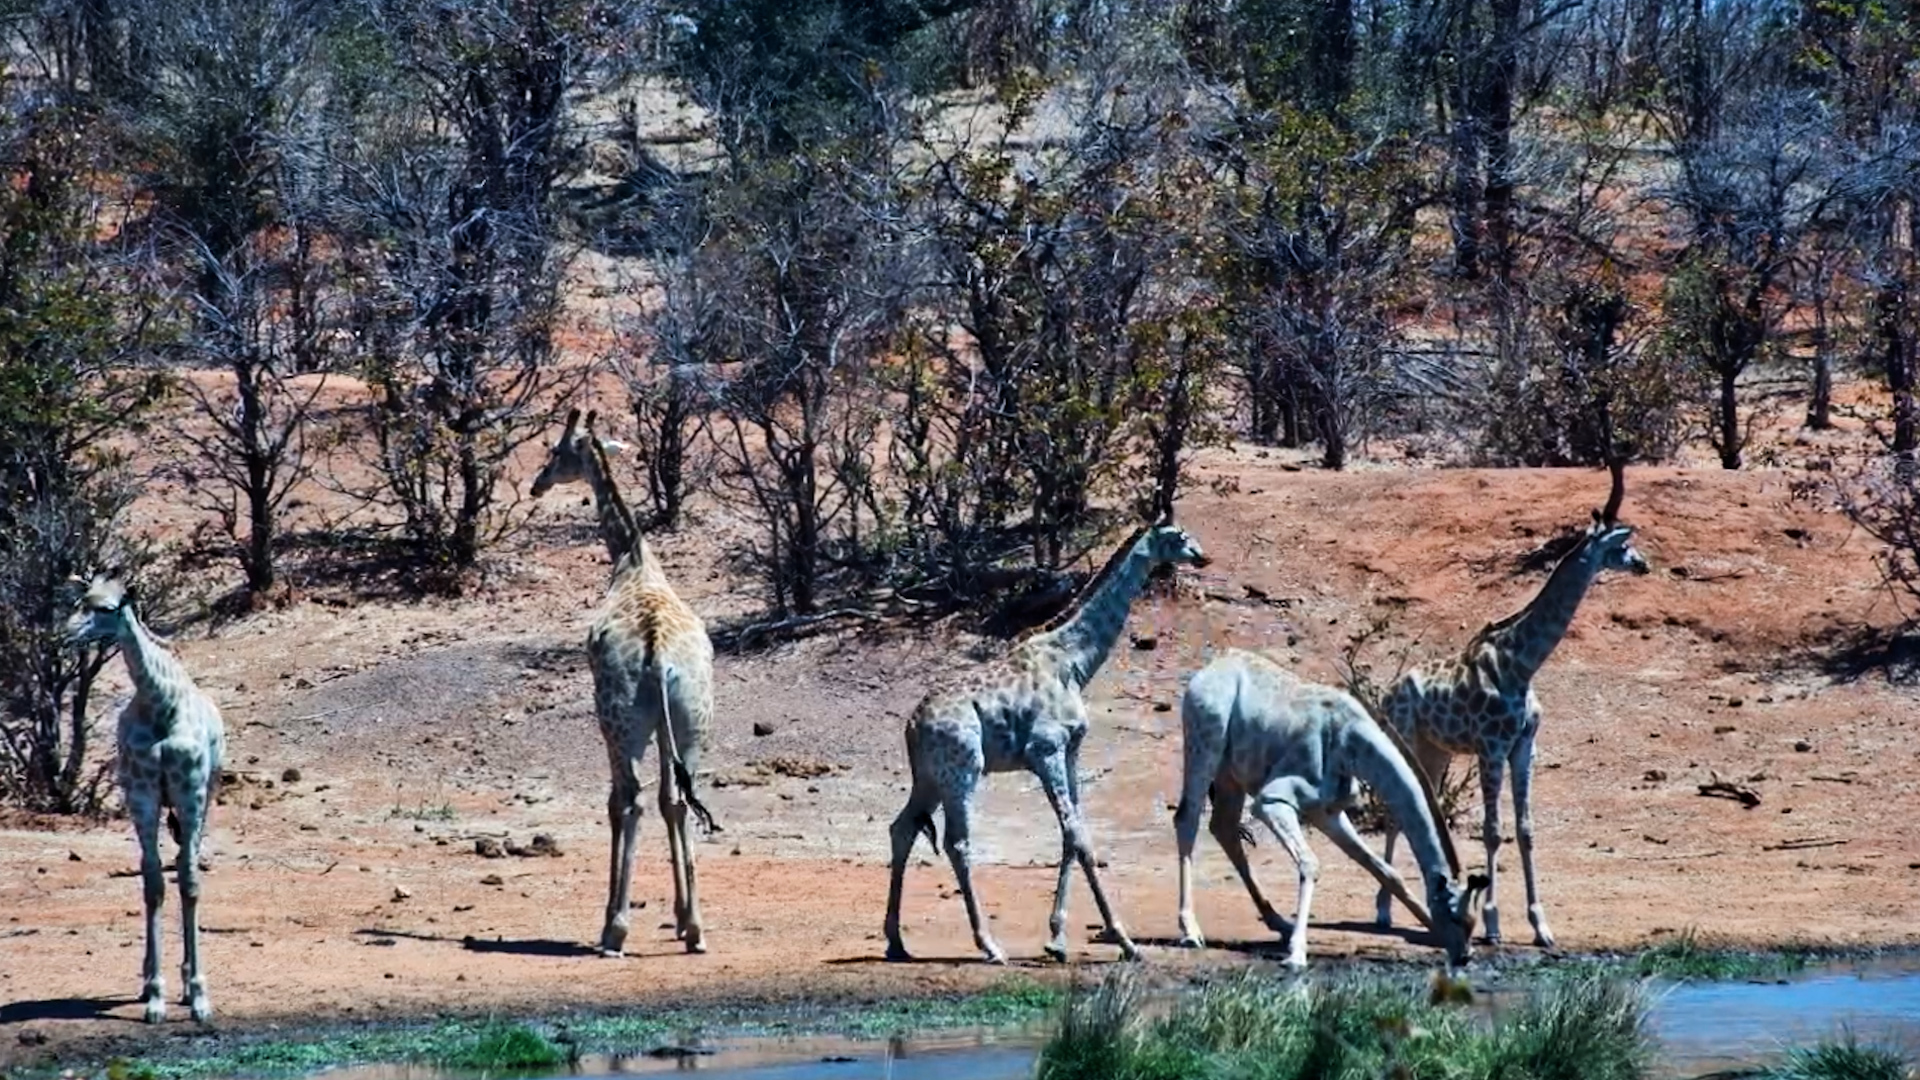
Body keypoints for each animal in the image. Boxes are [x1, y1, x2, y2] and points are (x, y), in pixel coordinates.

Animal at [67, 575, 226, 1023]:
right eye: (78, 602)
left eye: (106, 608)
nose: (66, 632)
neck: (160, 704)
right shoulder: (142, 795)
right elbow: (153, 883)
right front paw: (155, 994)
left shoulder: (190, 794)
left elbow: (189, 881)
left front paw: (198, 994)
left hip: (206, 796)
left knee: (188, 869)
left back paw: (188, 982)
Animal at [532, 407, 719, 955]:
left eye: (557, 450)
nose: (535, 484)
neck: (633, 559)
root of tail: (659, 659)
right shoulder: (667, 727)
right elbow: (670, 802)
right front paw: (679, 918)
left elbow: (619, 802)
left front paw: (615, 920)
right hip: (693, 721)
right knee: (678, 798)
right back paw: (696, 928)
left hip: (618, 721)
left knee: (629, 800)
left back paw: (613, 929)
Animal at [883, 521, 1210, 965]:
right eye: (1179, 537)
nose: (1202, 556)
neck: (1074, 663)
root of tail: (913, 726)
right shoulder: (1045, 750)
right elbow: (1079, 837)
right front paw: (1124, 940)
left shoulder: (1070, 752)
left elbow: (1072, 836)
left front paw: (1056, 938)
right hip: (962, 771)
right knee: (958, 842)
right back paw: (989, 946)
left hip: (929, 779)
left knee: (902, 829)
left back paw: (896, 942)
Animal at [1172, 649, 1487, 971]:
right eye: (1454, 915)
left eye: (1472, 920)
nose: (1463, 957)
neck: (1352, 744)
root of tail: (1206, 672)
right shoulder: (1272, 800)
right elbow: (1310, 863)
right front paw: (1297, 955)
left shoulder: (1327, 812)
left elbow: (1385, 870)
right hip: (1205, 745)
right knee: (1187, 819)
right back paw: (1191, 931)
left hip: (1230, 774)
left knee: (1223, 826)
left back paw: (1279, 923)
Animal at [1374, 465, 1649, 948]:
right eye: (1620, 544)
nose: (1643, 563)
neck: (1522, 663)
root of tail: (1387, 693)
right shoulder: (1492, 747)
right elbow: (1493, 831)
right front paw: (1493, 922)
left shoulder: (1524, 747)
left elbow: (1525, 831)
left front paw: (1541, 925)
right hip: (1404, 736)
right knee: (1395, 811)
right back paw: (1386, 911)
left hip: (1436, 749)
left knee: (1422, 807)